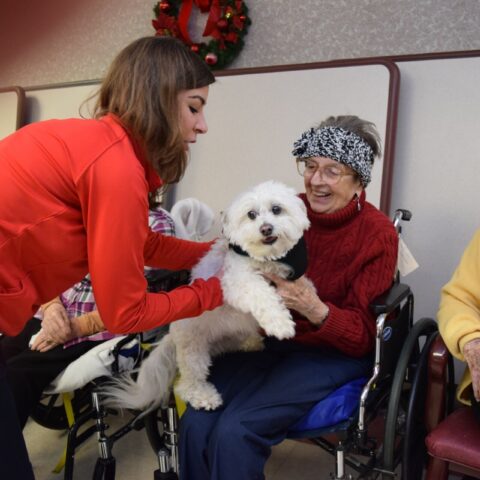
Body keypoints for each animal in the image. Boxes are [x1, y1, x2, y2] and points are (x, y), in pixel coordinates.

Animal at [103, 182, 310, 410]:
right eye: (251, 214)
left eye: (276, 209)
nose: (266, 228)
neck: (264, 259)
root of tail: (171, 337)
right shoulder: (236, 281)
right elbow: (262, 295)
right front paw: (280, 324)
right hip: (193, 352)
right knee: (186, 384)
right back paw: (203, 396)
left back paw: (251, 343)